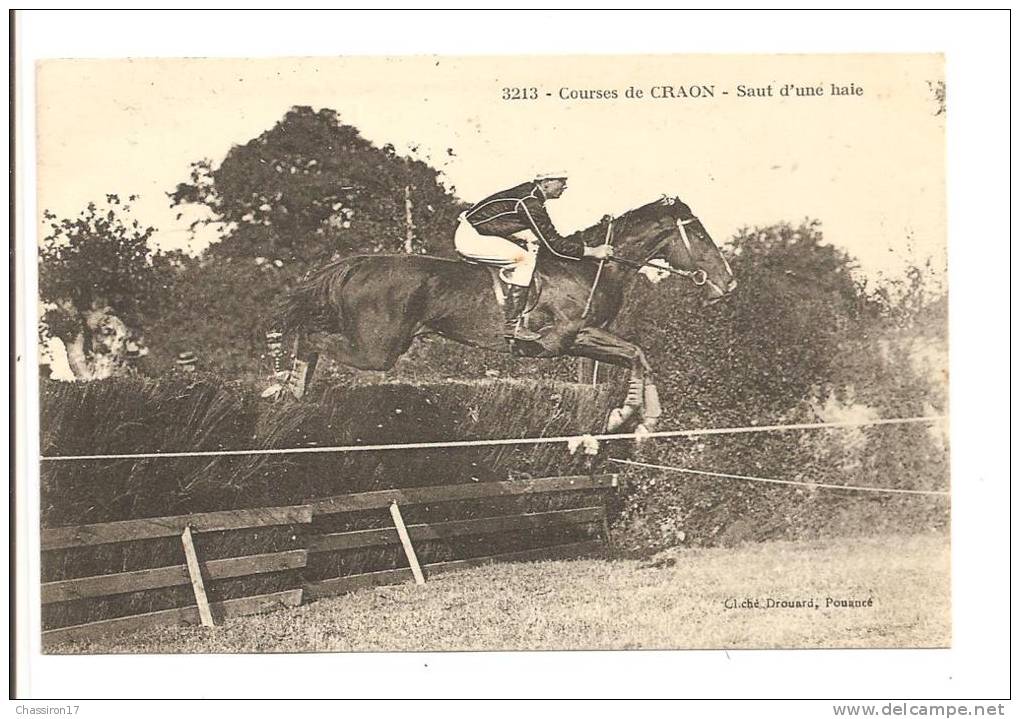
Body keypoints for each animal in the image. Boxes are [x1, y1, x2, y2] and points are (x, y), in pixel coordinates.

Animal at [273, 194, 734, 432]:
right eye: (696, 233)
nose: (727, 283)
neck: (588, 267)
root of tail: (357, 263)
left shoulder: (584, 342)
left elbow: (639, 356)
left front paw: (639, 418)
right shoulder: (568, 337)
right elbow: (637, 352)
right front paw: (630, 416)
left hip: (374, 343)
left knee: (310, 335)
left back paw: (289, 396)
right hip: (376, 348)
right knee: (311, 336)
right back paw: (285, 390)